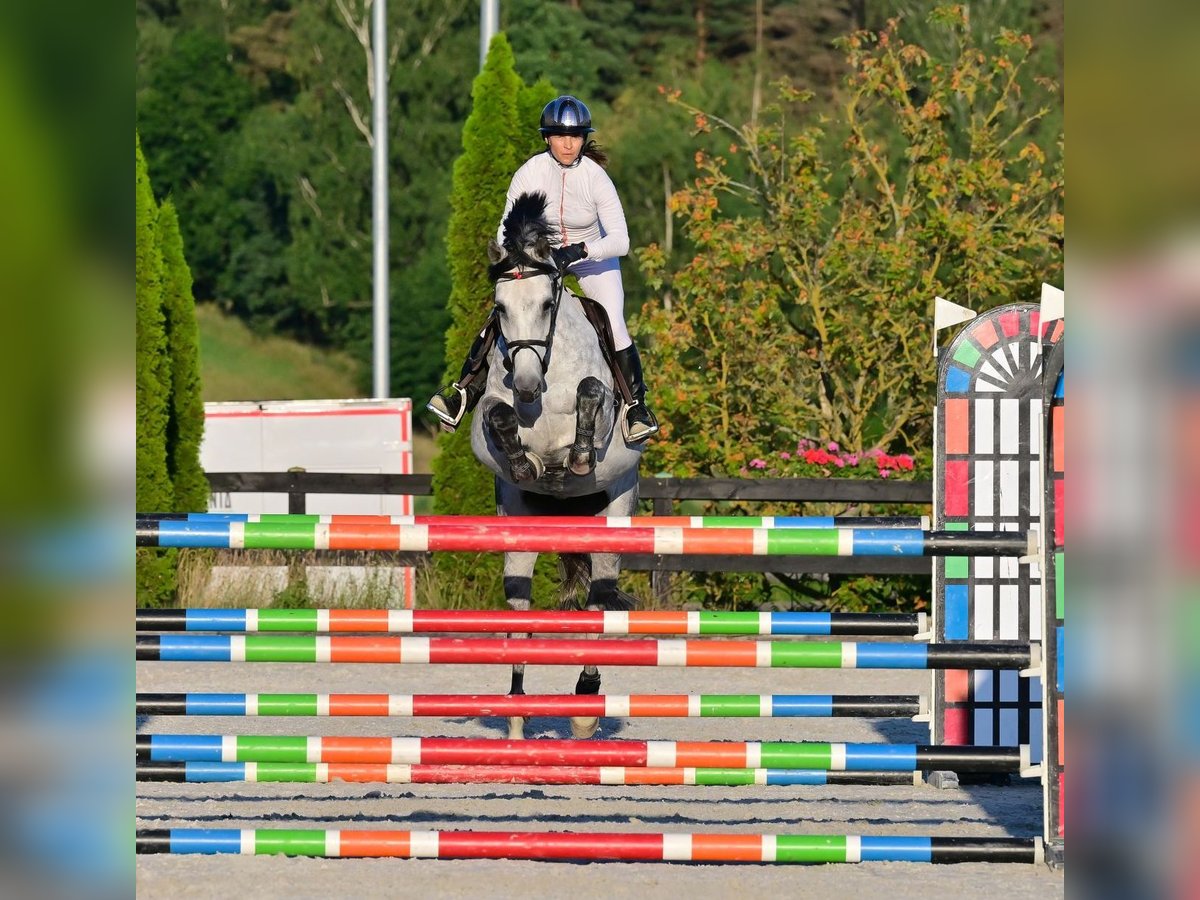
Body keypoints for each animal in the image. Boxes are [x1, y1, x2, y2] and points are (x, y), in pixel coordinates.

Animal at [468, 190, 643, 739]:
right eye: (500, 308)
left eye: (547, 304)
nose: (526, 385)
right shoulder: (490, 418)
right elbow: (498, 416)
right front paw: (527, 463)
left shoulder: (603, 410)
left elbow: (590, 394)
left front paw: (579, 457)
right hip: (520, 538)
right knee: (520, 614)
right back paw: (517, 715)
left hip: (612, 521)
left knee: (599, 604)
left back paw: (585, 707)